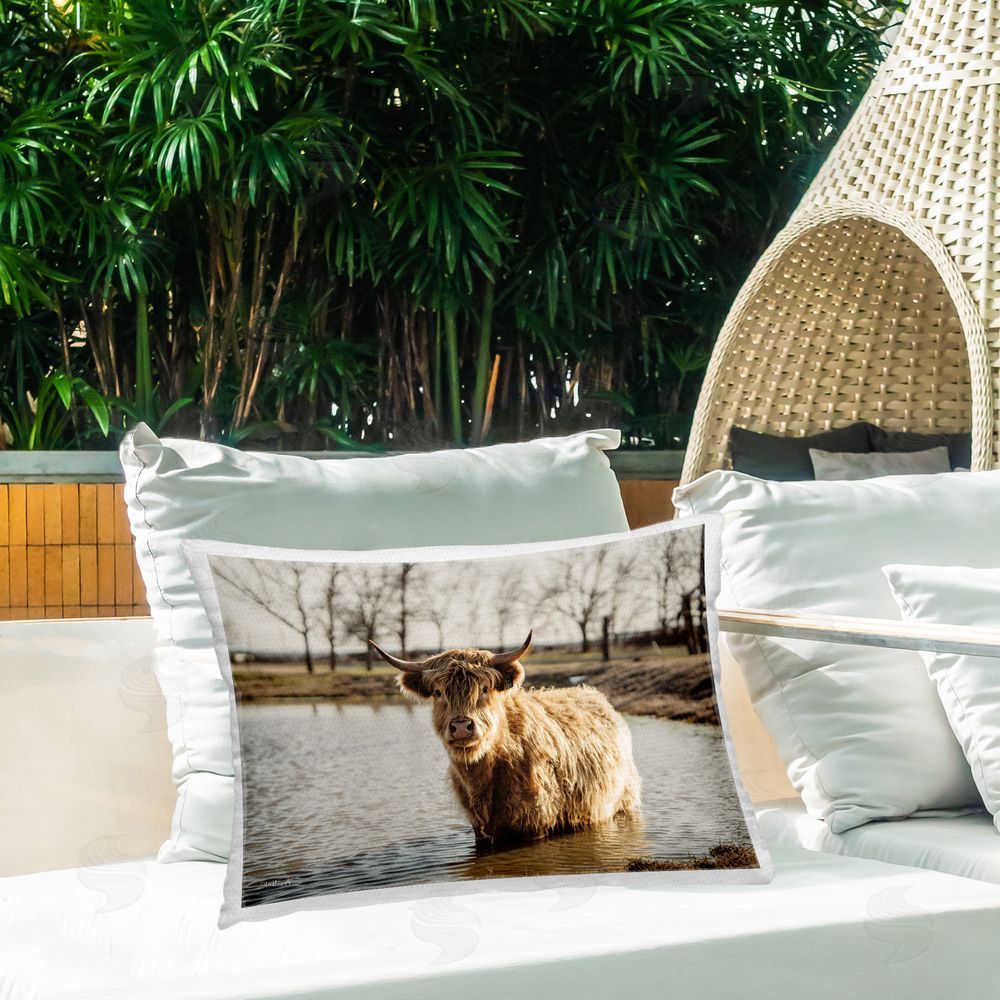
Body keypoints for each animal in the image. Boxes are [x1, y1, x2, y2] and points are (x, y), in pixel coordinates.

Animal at [368, 632, 641, 844]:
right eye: (438, 693)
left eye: (485, 689)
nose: (461, 727)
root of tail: (594, 694)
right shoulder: (479, 830)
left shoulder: (536, 824)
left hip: (625, 799)